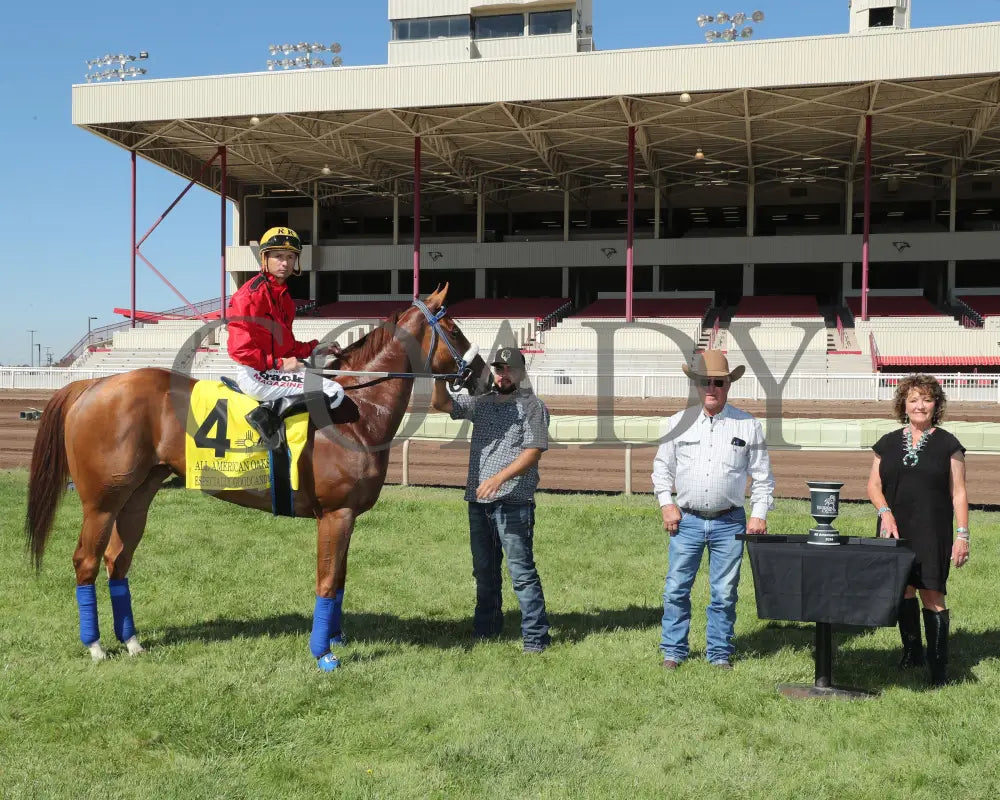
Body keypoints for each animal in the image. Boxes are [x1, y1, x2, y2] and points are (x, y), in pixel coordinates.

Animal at [25, 285, 490, 670]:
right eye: (454, 328)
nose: (487, 374)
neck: (356, 411)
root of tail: (92, 385)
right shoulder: (335, 514)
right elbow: (326, 581)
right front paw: (323, 653)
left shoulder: (347, 516)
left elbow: (339, 579)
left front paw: (336, 635)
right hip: (101, 502)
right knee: (85, 560)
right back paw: (95, 646)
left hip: (138, 496)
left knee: (117, 561)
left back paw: (133, 642)